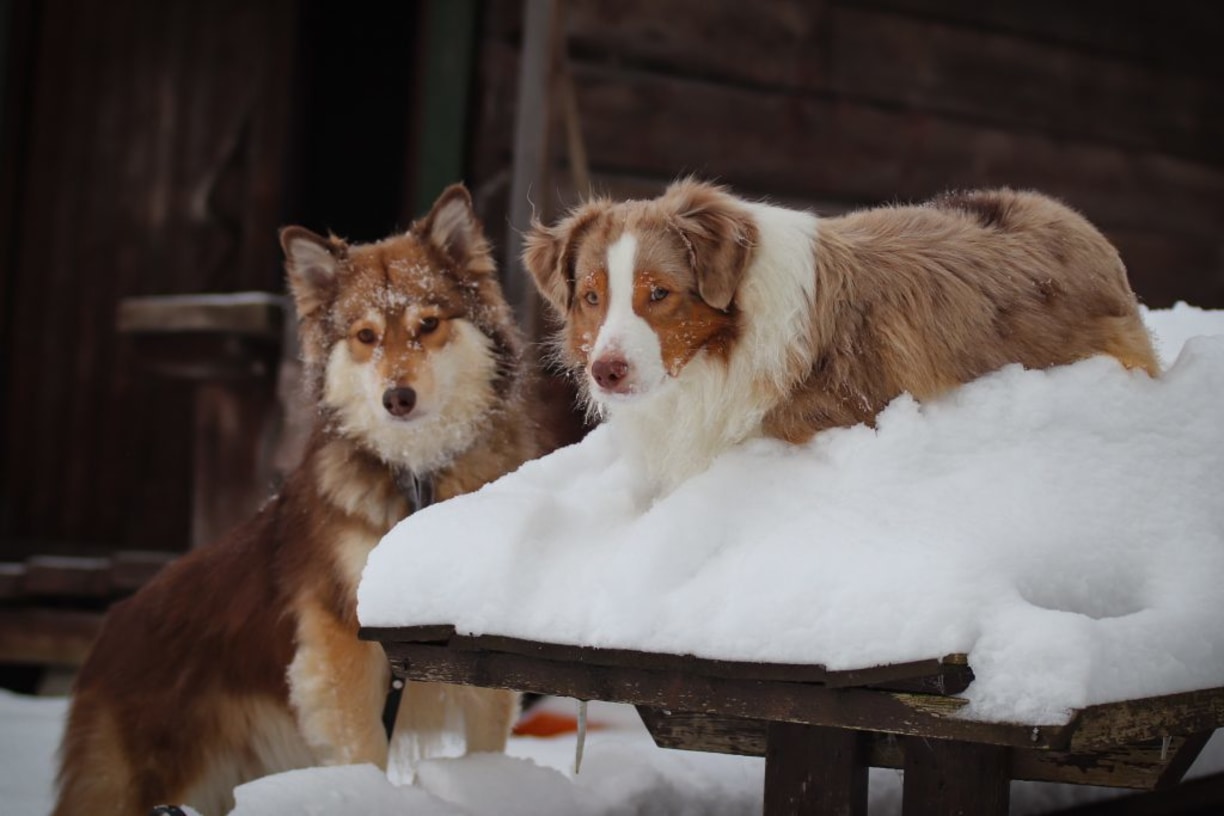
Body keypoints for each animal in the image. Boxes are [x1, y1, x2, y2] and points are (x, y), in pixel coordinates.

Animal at [52, 184, 541, 816]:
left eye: (428, 324)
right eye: (365, 336)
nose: (398, 398)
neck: (416, 477)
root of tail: (106, 635)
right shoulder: (341, 642)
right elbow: (363, 748)